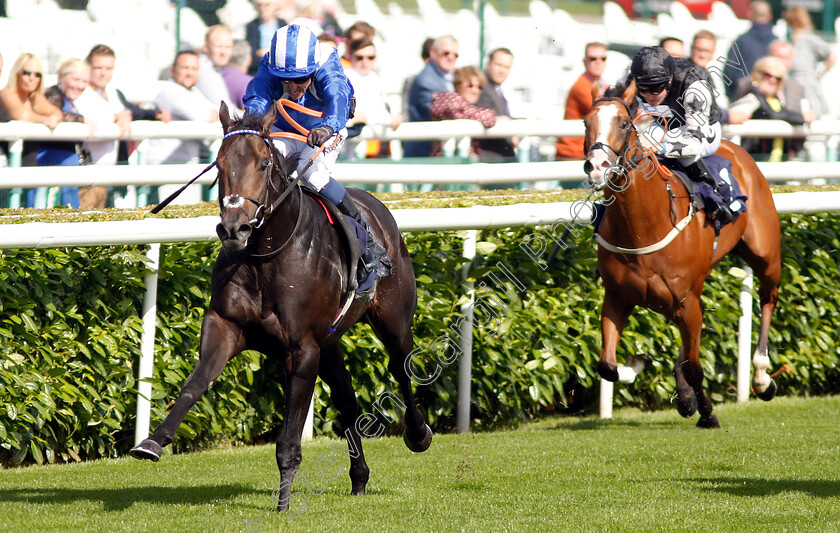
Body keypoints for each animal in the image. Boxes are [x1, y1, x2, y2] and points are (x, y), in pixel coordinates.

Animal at [133, 103, 434, 508]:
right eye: (219, 164)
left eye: (263, 164)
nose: (234, 229)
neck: (266, 256)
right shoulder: (225, 325)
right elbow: (195, 383)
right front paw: (152, 441)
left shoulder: (302, 348)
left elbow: (289, 435)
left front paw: (283, 502)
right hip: (331, 341)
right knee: (347, 398)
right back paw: (359, 477)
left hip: (393, 320)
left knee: (401, 368)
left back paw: (418, 434)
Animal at [580, 81, 784, 426]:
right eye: (585, 123)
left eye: (624, 124)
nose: (597, 167)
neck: (642, 228)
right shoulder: (618, 297)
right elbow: (606, 365)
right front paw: (638, 364)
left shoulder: (685, 300)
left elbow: (695, 368)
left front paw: (707, 414)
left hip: (766, 256)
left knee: (767, 299)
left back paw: (761, 378)